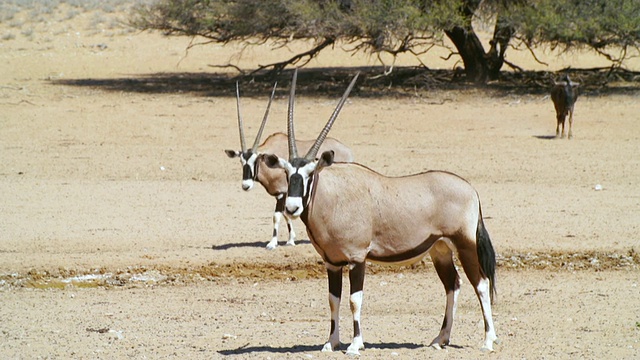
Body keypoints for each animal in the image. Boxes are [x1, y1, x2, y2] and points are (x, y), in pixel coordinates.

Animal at [225, 82, 356, 250]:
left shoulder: (283, 193)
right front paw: (290, 239)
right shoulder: (283, 195)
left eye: (255, 161)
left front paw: (273, 243)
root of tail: (347, 149)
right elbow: (287, 215)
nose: (245, 185)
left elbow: (277, 216)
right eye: (241, 162)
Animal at [264, 69, 500, 354]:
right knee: (452, 285)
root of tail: (471, 189)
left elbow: (354, 300)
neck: (334, 197)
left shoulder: (357, 258)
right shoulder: (332, 263)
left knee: (481, 284)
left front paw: (355, 344)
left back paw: (488, 340)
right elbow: (333, 299)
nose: (292, 207)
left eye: (311, 174)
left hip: (465, 245)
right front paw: (331, 342)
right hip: (440, 250)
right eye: (288, 174)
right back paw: (440, 339)